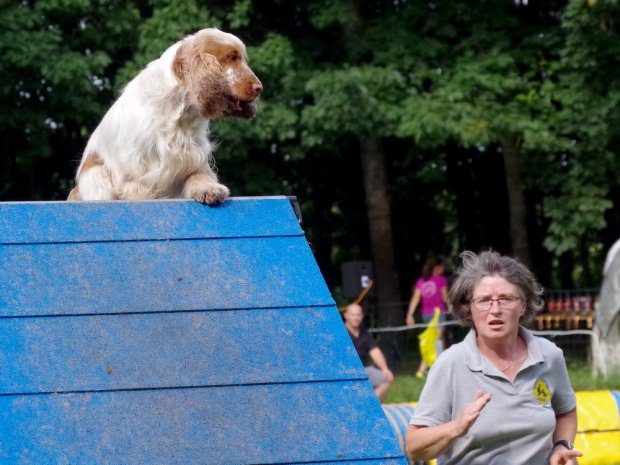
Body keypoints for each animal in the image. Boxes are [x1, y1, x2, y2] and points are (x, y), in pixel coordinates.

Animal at [68, 28, 262, 203]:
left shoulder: (193, 154)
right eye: (231, 57)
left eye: (244, 60)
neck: (180, 109)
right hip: (94, 173)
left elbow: (199, 174)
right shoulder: (135, 166)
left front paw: (209, 190)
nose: (259, 88)